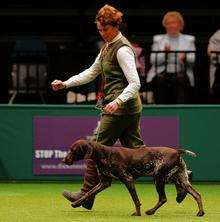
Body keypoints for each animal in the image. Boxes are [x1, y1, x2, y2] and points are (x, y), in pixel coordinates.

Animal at [62, 140, 205, 216]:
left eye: (73, 150)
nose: (64, 160)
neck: (104, 154)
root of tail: (177, 151)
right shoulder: (104, 183)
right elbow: (88, 193)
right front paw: (76, 203)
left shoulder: (128, 179)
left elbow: (135, 200)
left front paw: (137, 213)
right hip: (179, 179)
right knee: (196, 194)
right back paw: (200, 212)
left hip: (159, 177)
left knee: (163, 198)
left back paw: (151, 211)